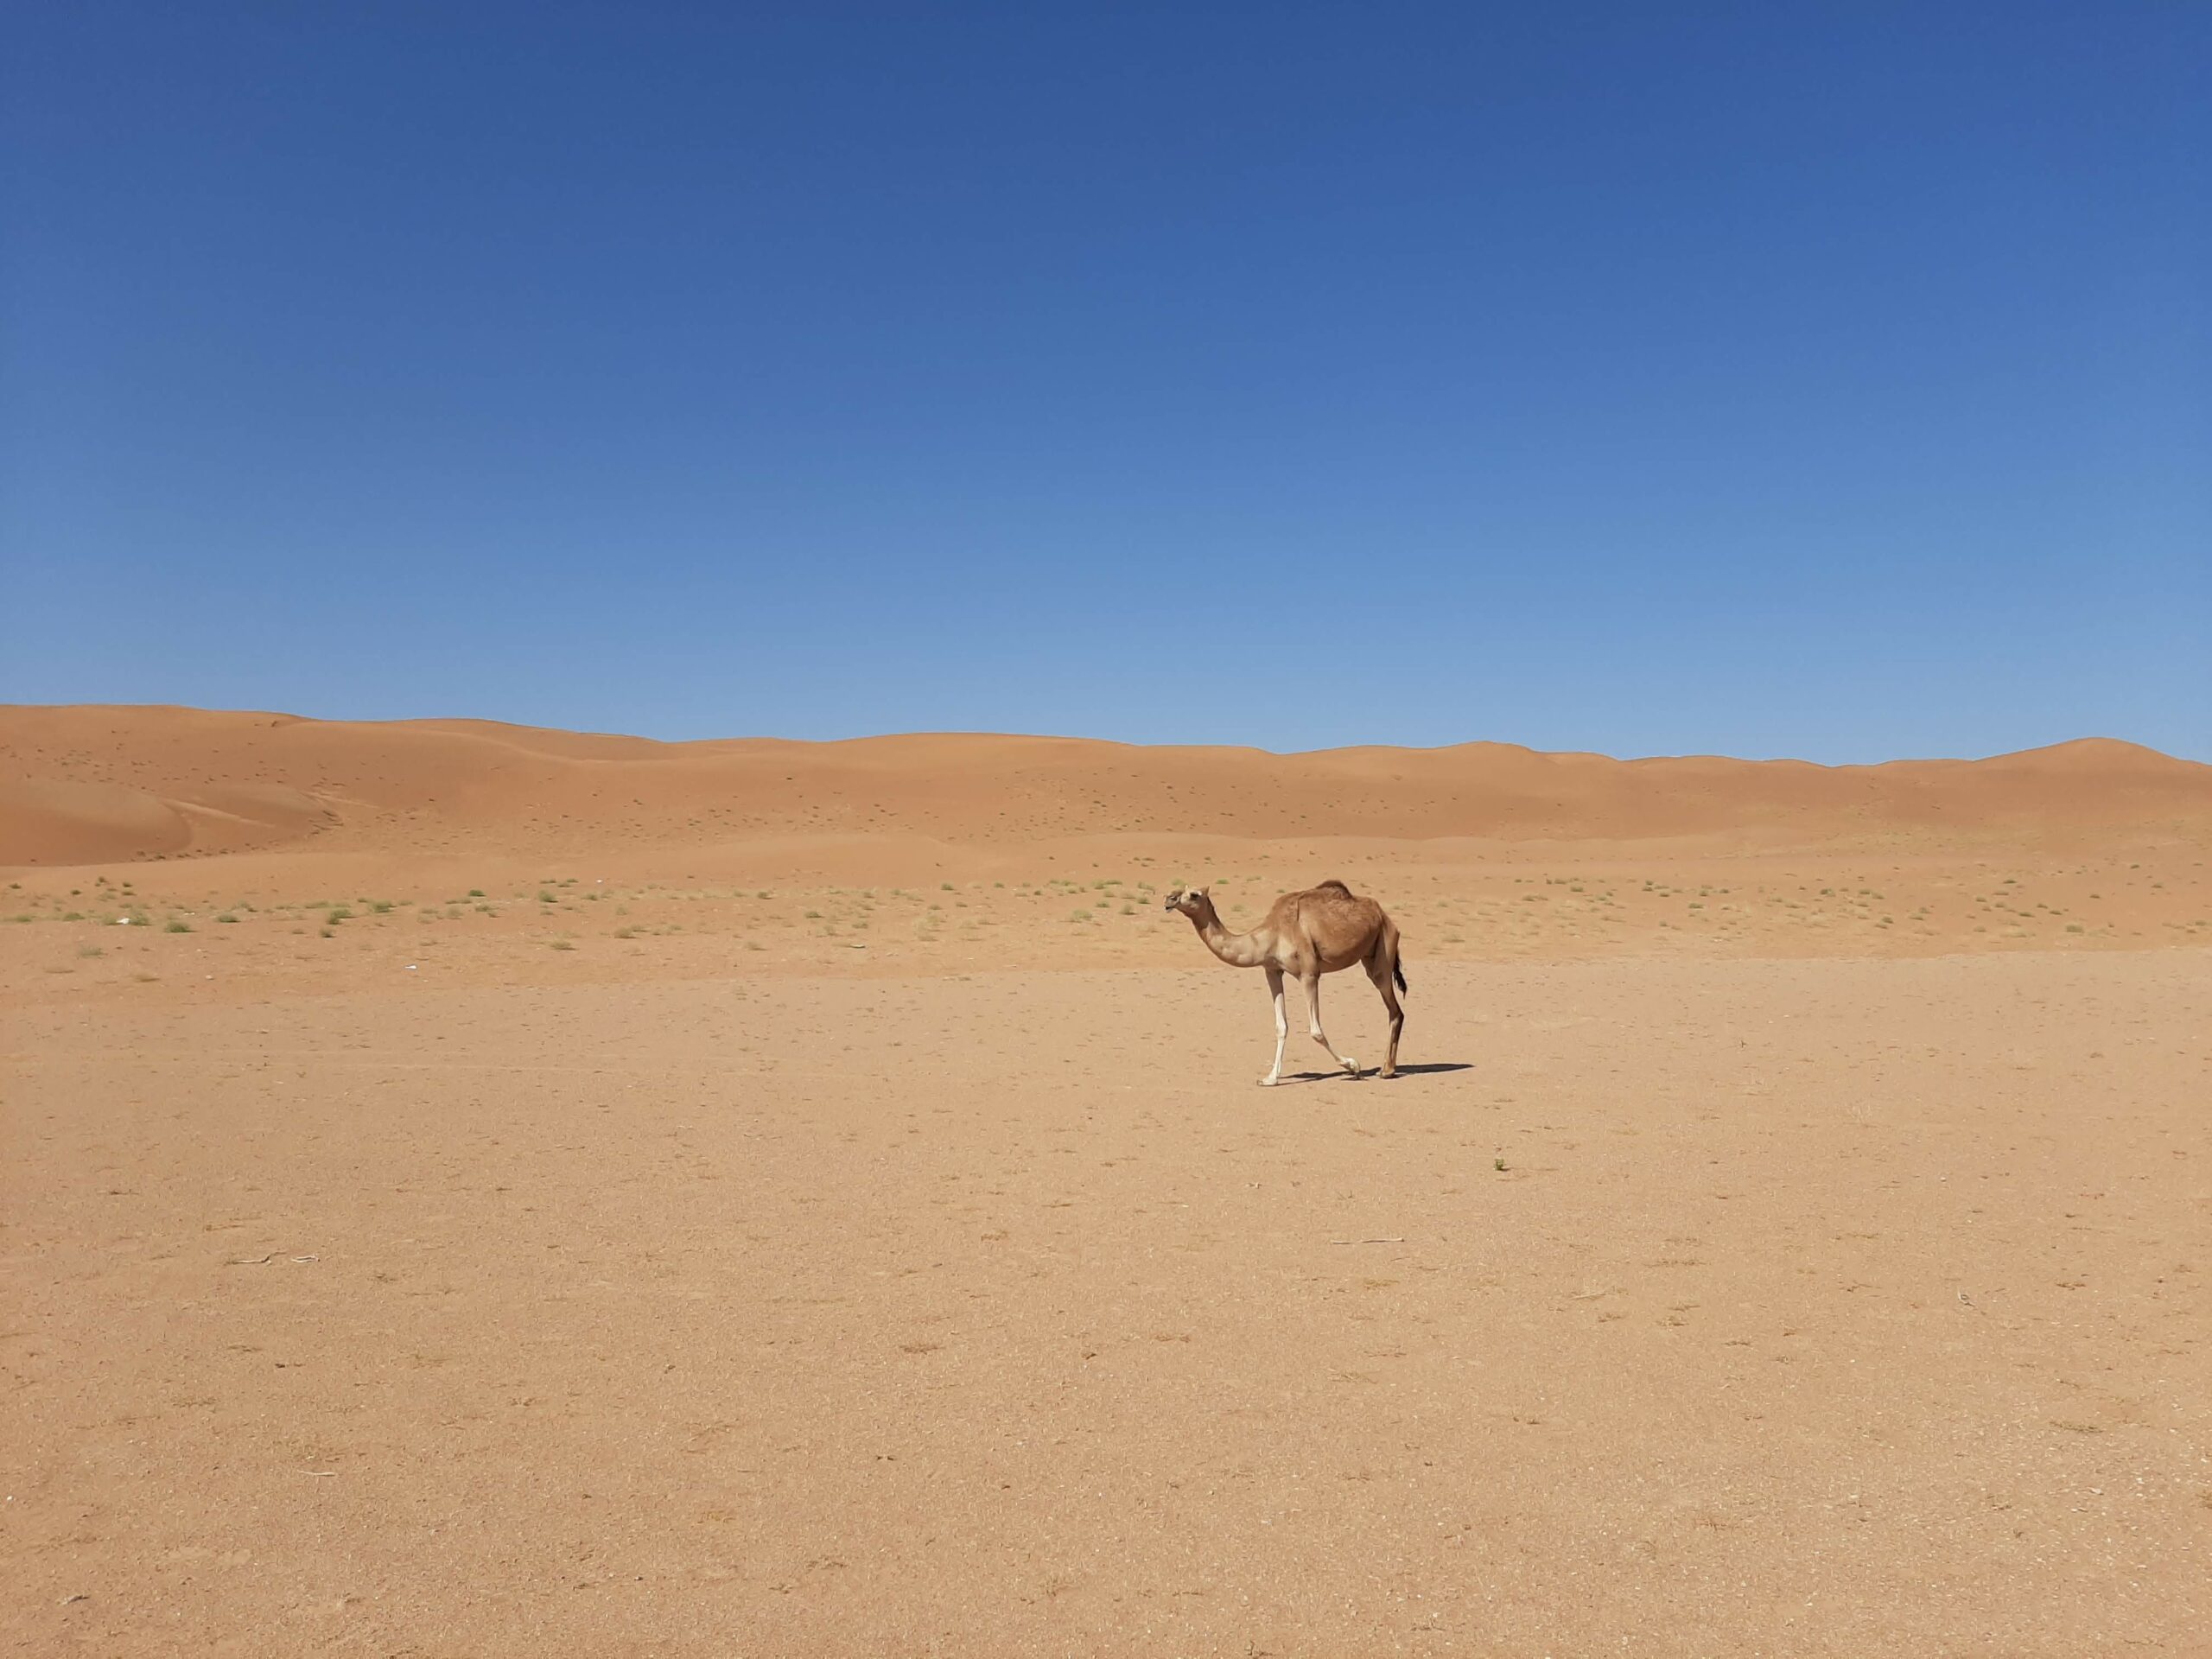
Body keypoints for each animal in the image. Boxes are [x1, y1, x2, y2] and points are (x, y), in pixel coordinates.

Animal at [1167, 885, 1407, 1092]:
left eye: (1195, 894)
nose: (1169, 898)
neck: (1270, 936)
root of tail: (1384, 915)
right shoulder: (1272, 970)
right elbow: (1281, 1026)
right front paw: (1270, 1078)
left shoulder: (1309, 973)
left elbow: (1316, 1031)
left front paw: (1353, 1066)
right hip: (1369, 954)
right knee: (1394, 1010)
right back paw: (1387, 1069)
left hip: (1384, 948)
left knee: (1394, 1008)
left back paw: (1386, 1070)